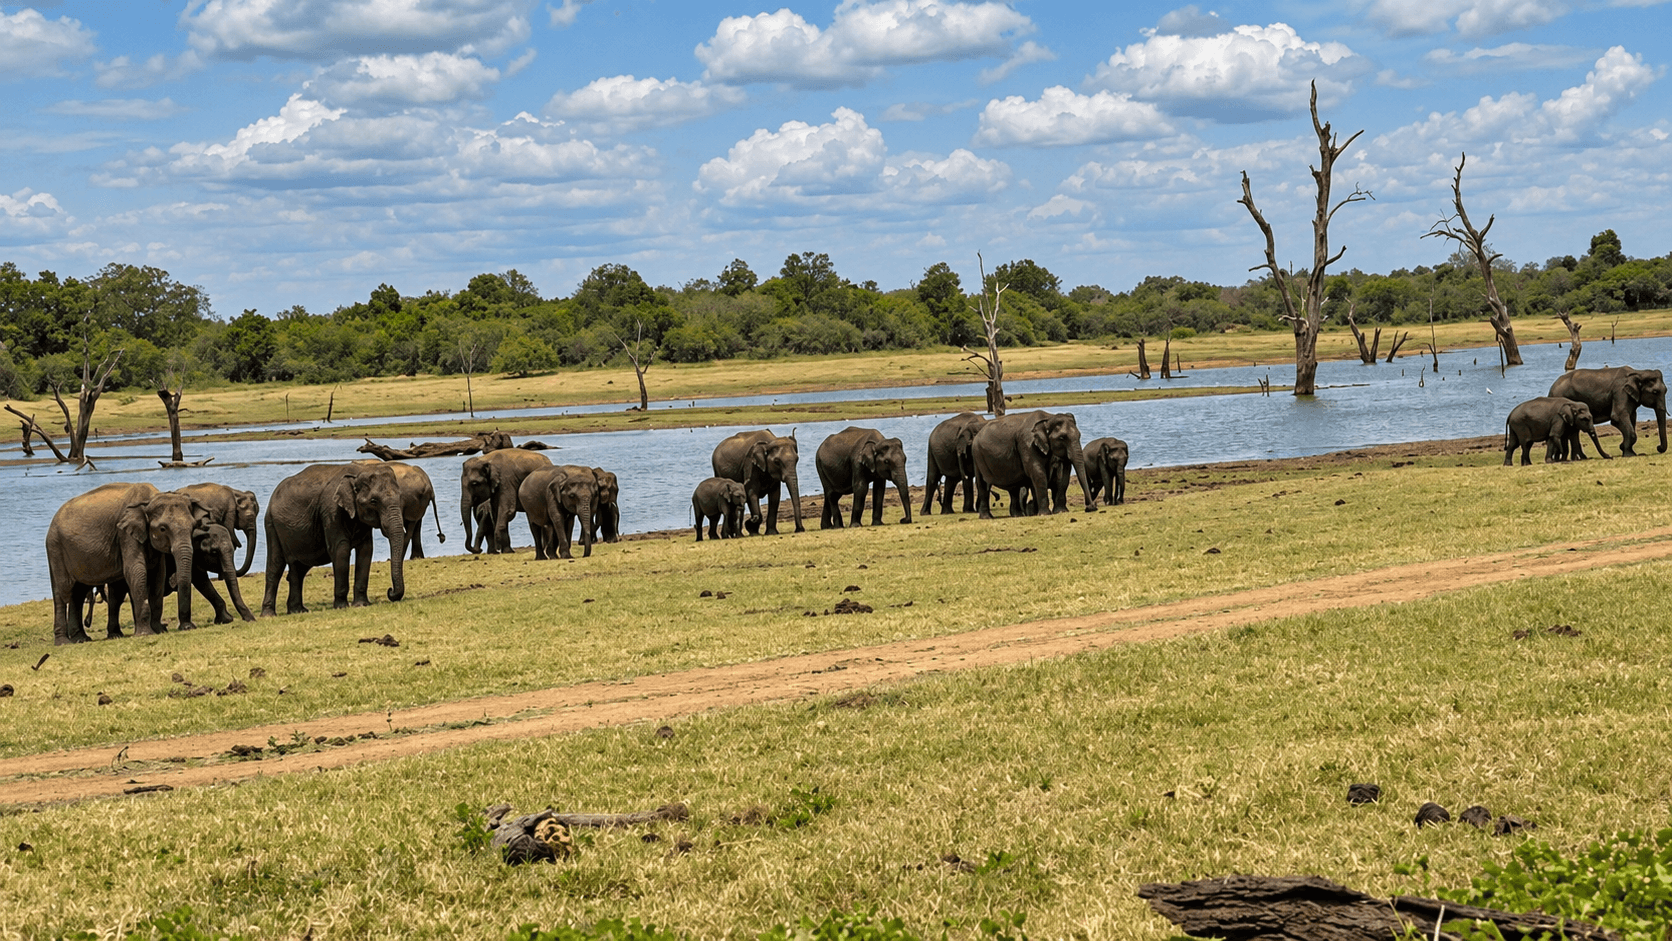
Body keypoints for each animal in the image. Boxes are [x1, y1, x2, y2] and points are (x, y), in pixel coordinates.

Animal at [46, 482, 212, 644]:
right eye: (163, 528)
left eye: (193, 527)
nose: (187, 627)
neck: (149, 499)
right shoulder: (125, 534)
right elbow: (137, 570)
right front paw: (145, 634)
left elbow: (158, 574)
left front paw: (159, 630)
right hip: (55, 548)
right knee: (62, 591)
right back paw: (64, 642)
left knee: (78, 592)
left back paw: (81, 639)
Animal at [261, 462, 407, 616]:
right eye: (373, 501)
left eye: (400, 496)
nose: (390, 591)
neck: (359, 471)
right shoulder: (331, 511)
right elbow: (341, 550)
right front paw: (342, 607)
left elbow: (366, 550)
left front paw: (361, 605)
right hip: (271, 524)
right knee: (276, 566)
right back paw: (269, 615)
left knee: (298, 569)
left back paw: (298, 611)